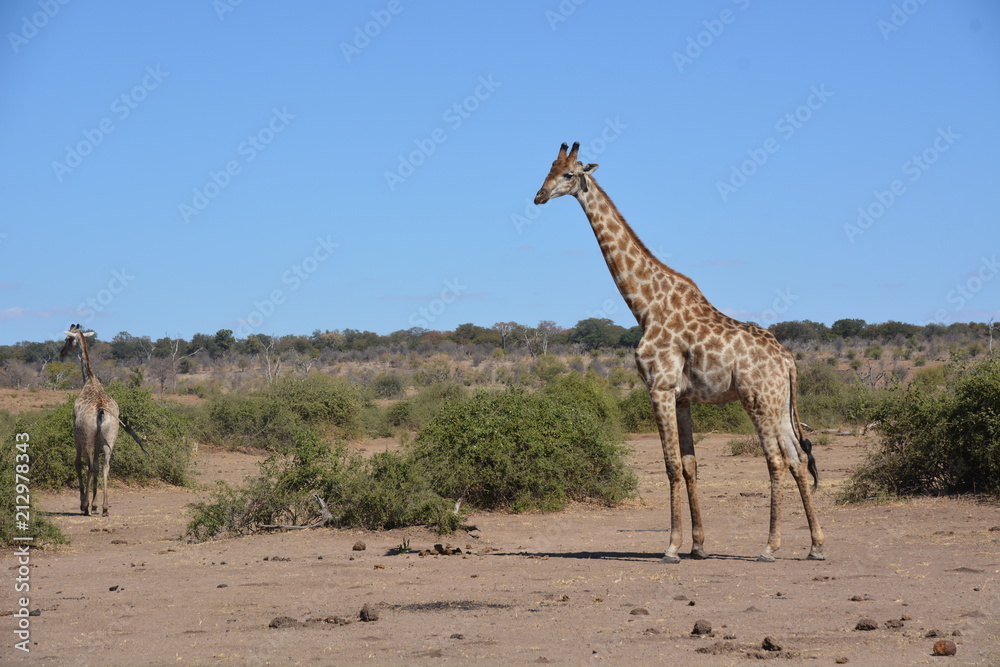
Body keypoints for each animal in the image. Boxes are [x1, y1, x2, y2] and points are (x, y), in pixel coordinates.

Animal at [60, 324, 124, 516]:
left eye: (68, 339)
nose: (61, 352)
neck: (89, 380)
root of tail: (101, 410)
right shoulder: (98, 440)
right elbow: (97, 464)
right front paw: (95, 504)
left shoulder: (77, 435)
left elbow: (78, 463)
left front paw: (85, 503)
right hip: (110, 437)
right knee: (104, 466)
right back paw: (104, 507)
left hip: (87, 437)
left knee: (89, 466)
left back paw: (86, 506)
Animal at [533, 143, 824, 563]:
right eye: (548, 169)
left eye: (569, 174)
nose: (538, 196)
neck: (645, 305)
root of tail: (788, 361)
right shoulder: (683, 396)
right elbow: (690, 465)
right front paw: (698, 545)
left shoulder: (659, 386)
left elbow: (670, 465)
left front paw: (671, 546)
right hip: (779, 403)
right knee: (799, 459)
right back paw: (816, 546)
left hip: (757, 399)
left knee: (776, 460)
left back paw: (770, 546)